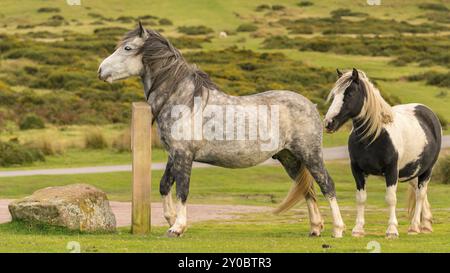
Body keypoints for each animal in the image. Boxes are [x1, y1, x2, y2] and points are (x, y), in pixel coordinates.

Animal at [98, 22, 344, 236]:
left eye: (127, 48)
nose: (101, 70)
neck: (184, 101)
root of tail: (310, 105)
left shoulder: (184, 156)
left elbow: (182, 190)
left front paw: (178, 227)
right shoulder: (173, 154)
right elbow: (164, 185)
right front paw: (171, 220)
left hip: (310, 154)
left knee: (327, 185)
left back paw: (338, 230)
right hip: (289, 157)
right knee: (307, 189)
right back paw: (315, 228)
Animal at [324, 68, 442, 238]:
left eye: (350, 93)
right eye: (334, 95)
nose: (328, 123)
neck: (374, 135)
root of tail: (427, 112)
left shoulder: (391, 170)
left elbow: (391, 199)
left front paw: (392, 230)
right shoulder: (357, 170)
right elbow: (361, 198)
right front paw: (358, 229)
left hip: (427, 170)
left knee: (420, 194)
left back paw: (414, 227)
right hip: (413, 171)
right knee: (418, 191)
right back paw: (425, 225)